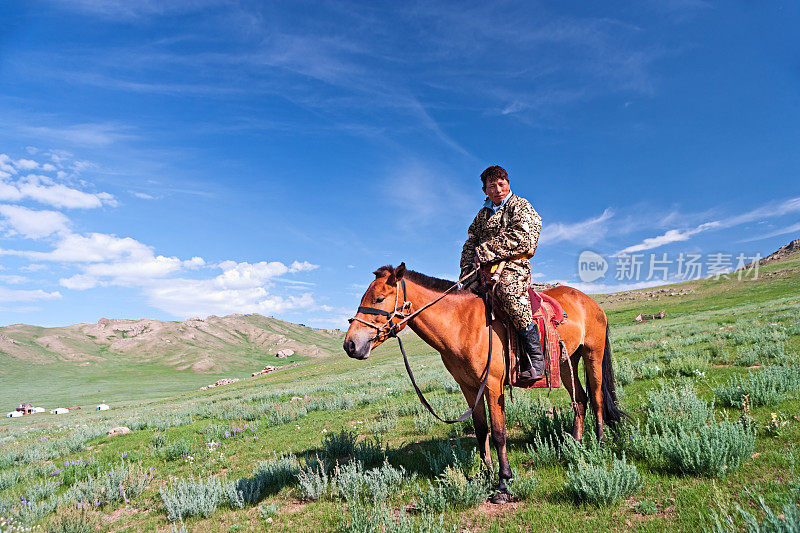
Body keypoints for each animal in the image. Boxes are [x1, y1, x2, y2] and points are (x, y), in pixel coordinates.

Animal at [344, 262, 624, 498]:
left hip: (593, 354)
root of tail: (590, 301)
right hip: (567, 363)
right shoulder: (469, 387)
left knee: (597, 397)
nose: (350, 345)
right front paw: (484, 474)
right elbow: (481, 431)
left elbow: (499, 433)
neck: (461, 325)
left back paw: (598, 443)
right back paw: (574, 445)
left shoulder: (492, 385)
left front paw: (503, 482)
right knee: (580, 400)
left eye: (379, 298)